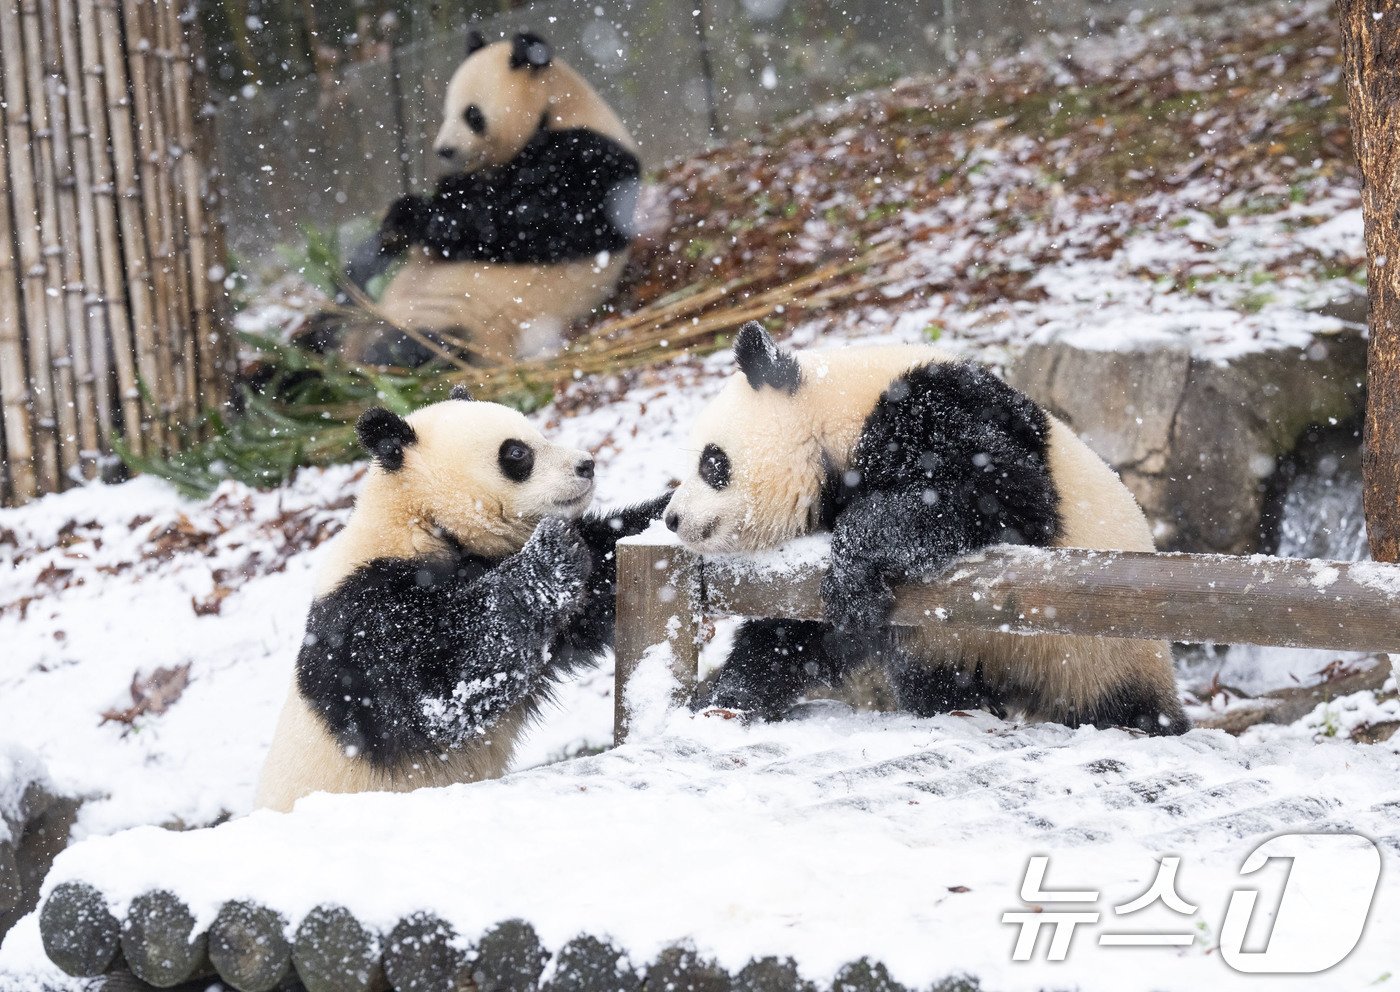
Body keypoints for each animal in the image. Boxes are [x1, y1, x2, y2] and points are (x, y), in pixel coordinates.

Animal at [259, 383, 672, 811]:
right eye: (516, 453)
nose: (586, 465)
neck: (421, 521)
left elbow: (600, 578)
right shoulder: (364, 620)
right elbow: (442, 688)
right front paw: (550, 552)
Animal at [338, 30, 644, 366]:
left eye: (472, 114)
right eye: (446, 113)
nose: (444, 150)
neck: (556, 109)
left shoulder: (595, 160)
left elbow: (540, 222)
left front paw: (422, 216)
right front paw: (402, 219)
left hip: (470, 323)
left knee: (419, 347)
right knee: (355, 286)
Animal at [660, 324, 1187, 733]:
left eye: (712, 463)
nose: (671, 518)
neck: (836, 414)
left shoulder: (933, 408)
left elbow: (999, 493)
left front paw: (853, 570)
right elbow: (802, 633)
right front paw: (725, 699)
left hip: (1101, 650)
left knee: (1125, 706)